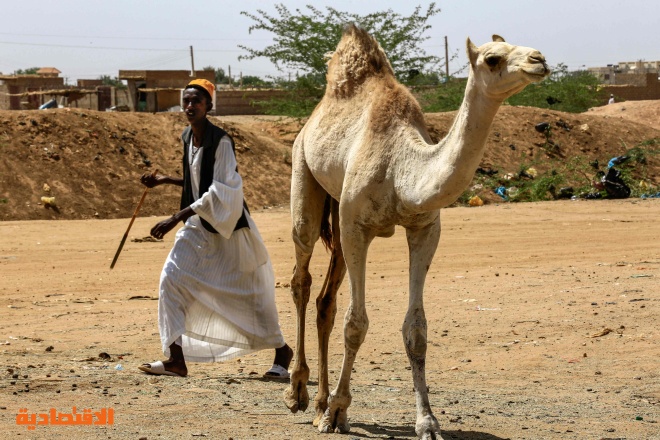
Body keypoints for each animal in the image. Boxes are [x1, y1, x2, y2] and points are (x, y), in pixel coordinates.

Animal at [286, 25, 548, 438]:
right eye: (492, 58)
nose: (539, 59)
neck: (401, 169)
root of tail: (312, 118)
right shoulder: (356, 226)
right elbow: (356, 323)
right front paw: (339, 411)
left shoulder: (424, 229)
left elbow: (416, 329)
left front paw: (427, 421)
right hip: (305, 178)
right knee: (301, 275)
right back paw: (298, 393)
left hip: (339, 218)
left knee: (325, 301)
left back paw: (318, 403)